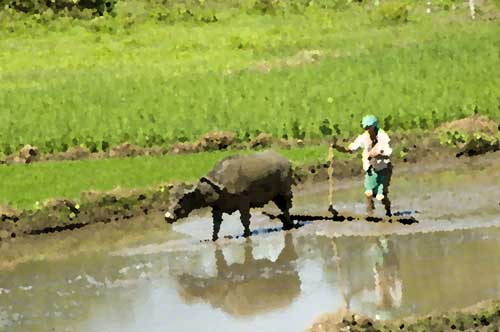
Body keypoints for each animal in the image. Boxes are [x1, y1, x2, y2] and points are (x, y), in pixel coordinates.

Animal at [164, 150, 296, 241]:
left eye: (181, 199)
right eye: (170, 198)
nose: (168, 216)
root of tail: (287, 161)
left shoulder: (243, 202)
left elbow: (245, 220)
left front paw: (247, 234)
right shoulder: (217, 207)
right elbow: (216, 225)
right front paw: (213, 238)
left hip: (284, 191)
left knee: (286, 207)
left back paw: (289, 225)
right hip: (276, 196)